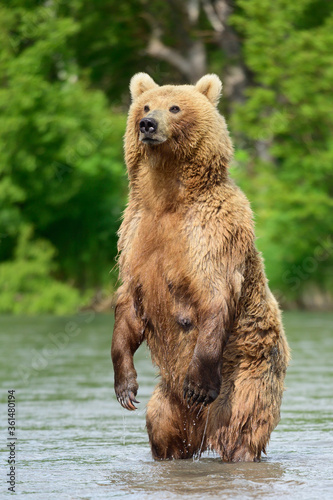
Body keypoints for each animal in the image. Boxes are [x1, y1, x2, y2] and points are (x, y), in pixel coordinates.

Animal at [111, 72, 288, 462]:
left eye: (175, 107)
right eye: (145, 106)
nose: (148, 124)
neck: (168, 198)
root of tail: (201, 431)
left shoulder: (211, 234)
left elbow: (214, 297)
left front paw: (198, 385)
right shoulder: (135, 236)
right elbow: (129, 304)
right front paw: (125, 387)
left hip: (246, 376)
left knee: (242, 427)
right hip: (167, 400)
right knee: (160, 426)